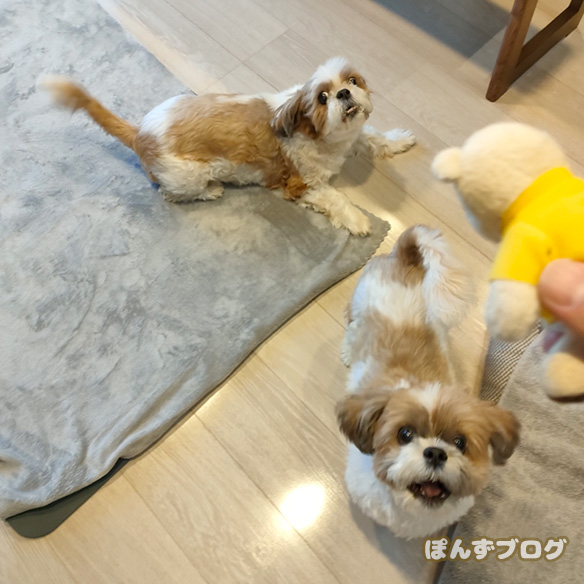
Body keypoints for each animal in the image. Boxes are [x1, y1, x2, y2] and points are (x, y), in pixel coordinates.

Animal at [40, 57, 415, 236]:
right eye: (322, 98)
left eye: (352, 81)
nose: (343, 93)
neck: (322, 137)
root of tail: (140, 132)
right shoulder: (301, 183)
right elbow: (335, 197)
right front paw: (357, 218)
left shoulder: (354, 136)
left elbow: (373, 137)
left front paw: (399, 140)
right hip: (186, 176)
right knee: (172, 194)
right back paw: (211, 191)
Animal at [336, 225, 520, 539]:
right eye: (404, 434)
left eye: (459, 442)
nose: (435, 452)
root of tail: (405, 257)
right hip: (360, 304)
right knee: (351, 326)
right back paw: (349, 351)